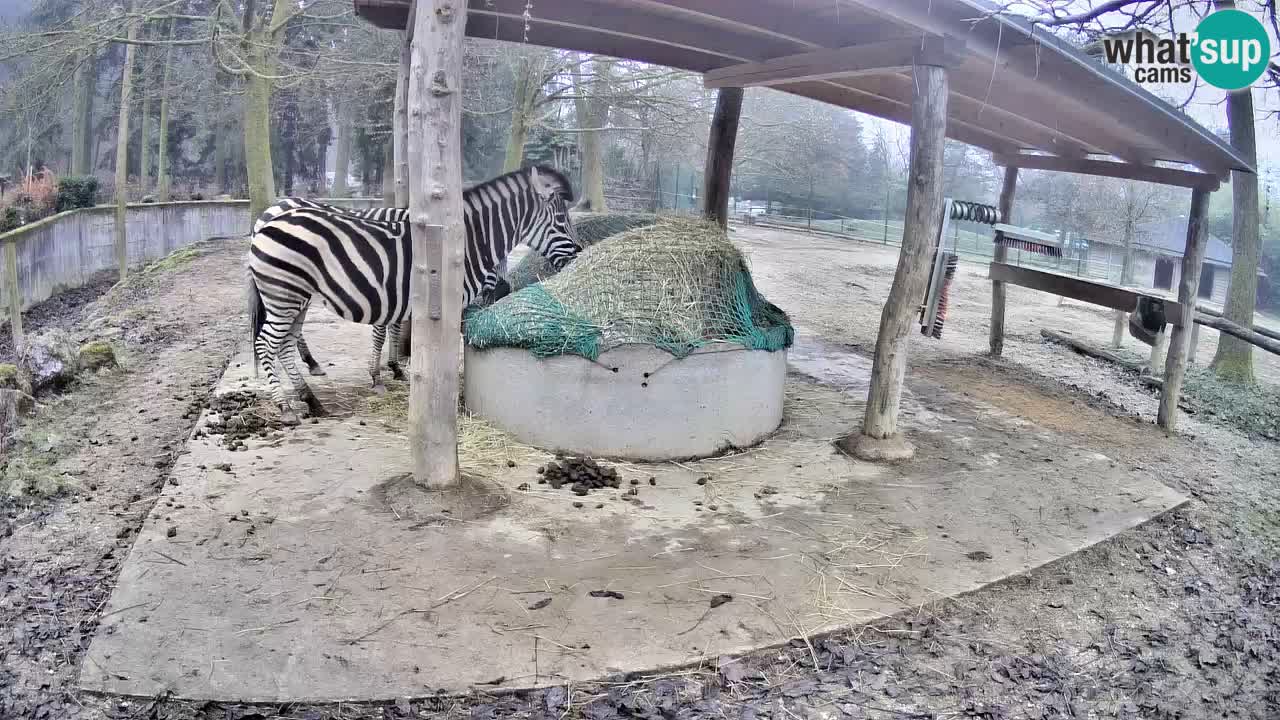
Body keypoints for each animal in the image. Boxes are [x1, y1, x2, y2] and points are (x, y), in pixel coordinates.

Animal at [251, 198, 512, 380]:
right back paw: (311, 363)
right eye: (491, 261)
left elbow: (394, 328)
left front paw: (394, 366)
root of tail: (272, 208)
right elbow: (384, 330)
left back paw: (310, 362)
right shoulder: (388, 286)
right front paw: (384, 370)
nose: (506, 291)